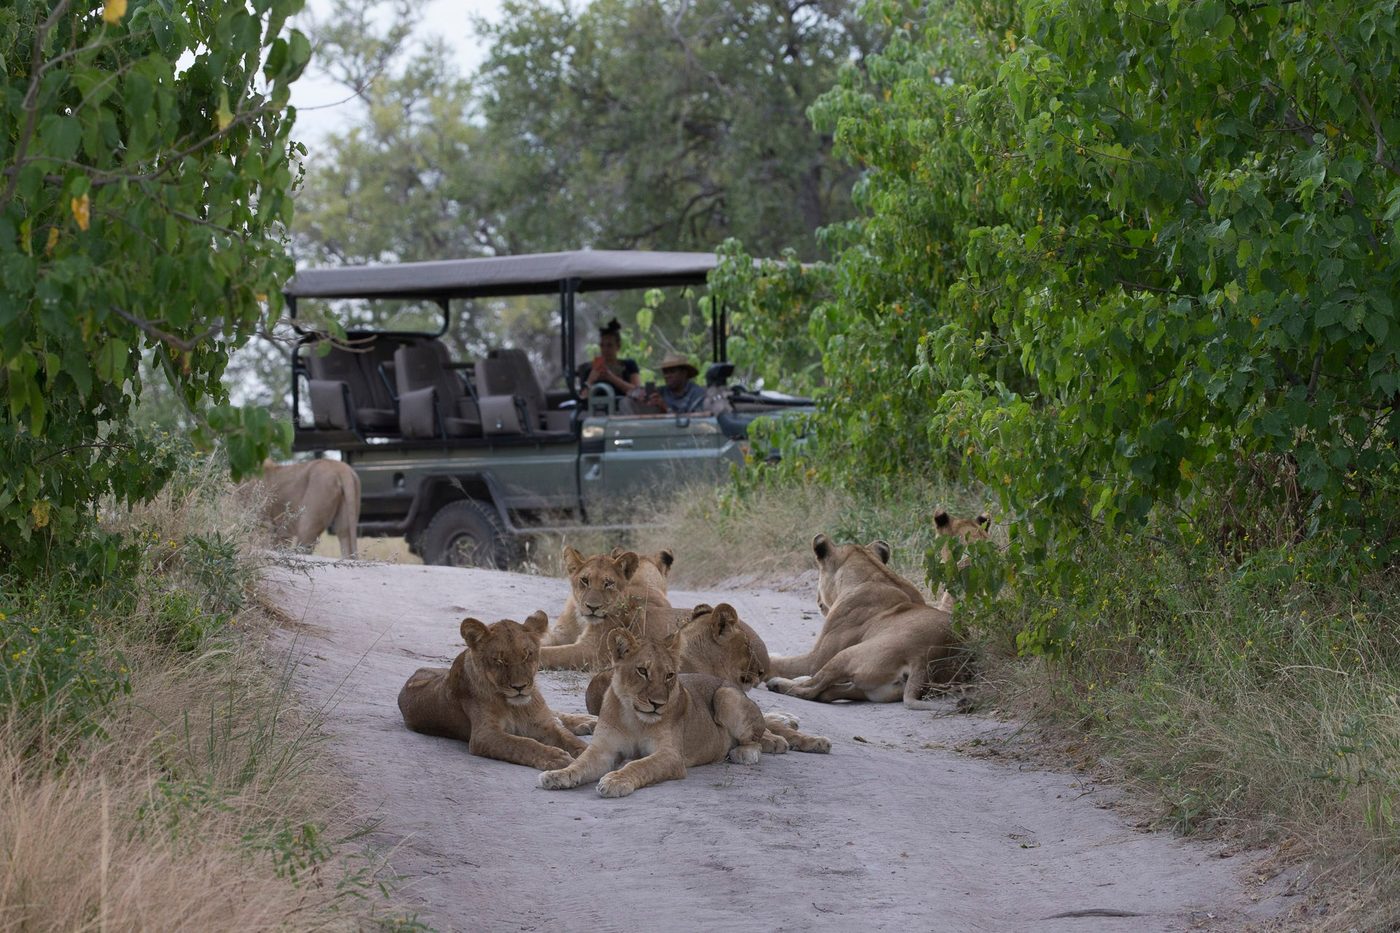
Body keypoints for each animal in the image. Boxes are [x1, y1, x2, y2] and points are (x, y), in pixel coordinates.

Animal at [397, 611, 588, 770]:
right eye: (499, 660)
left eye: (527, 655)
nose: (519, 687)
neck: (516, 707)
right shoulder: (485, 735)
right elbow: (522, 743)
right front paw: (555, 757)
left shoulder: (544, 724)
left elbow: (571, 740)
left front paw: (588, 755)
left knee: (557, 715)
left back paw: (586, 722)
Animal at [538, 630, 774, 797]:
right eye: (642, 671)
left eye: (669, 675)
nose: (657, 704)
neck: (634, 719)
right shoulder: (604, 749)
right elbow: (580, 763)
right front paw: (557, 775)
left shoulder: (671, 755)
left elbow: (639, 764)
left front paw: (615, 781)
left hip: (726, 695)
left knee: (756, 741)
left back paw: (743, 754)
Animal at [539, 547, 677, 671]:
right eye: (585, 580)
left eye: (608, 583)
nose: (592, 607)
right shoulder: (559, 635)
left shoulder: (593, 651)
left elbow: (551, 653)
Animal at [766, 533, 966, 709]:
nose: (817, 601)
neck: (876, 575)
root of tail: (924, 659)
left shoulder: (816, 659)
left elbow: (781, 664)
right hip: (873, 690)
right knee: (829, 693)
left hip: (846, 655)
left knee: (812, 689)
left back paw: (777, 683)